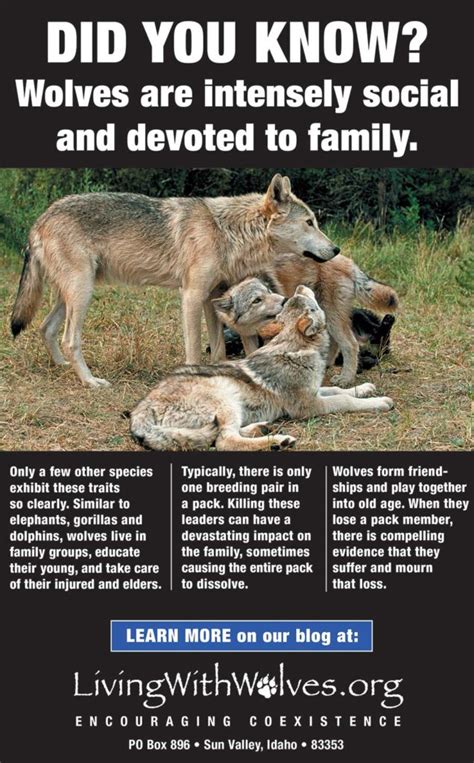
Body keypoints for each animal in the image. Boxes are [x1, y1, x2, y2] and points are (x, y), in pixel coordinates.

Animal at [10, 174, 339, 387]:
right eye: (310, 223)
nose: (336, 250)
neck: (228, 232)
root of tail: (39, 220)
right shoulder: (191, 296)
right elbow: (194, 348)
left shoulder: (211, 298)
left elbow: (218, 348)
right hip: (82, 292)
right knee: (69, 339)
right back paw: (90, 381)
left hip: (73, 295)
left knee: (45, 328)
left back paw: (63, 368)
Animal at [129, 285, 394, 451]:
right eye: (312, 305)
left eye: (299, 301)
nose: (296, 289)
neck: (294, 348)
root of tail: (138, 413)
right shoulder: (308, 406)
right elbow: (346, 400)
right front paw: (379, 402)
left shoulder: (315, 390)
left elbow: (341, 390)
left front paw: (366, 388)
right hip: (225, 400)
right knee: (224, 442)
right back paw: (278, 441)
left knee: (228, 435)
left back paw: (263, 428)